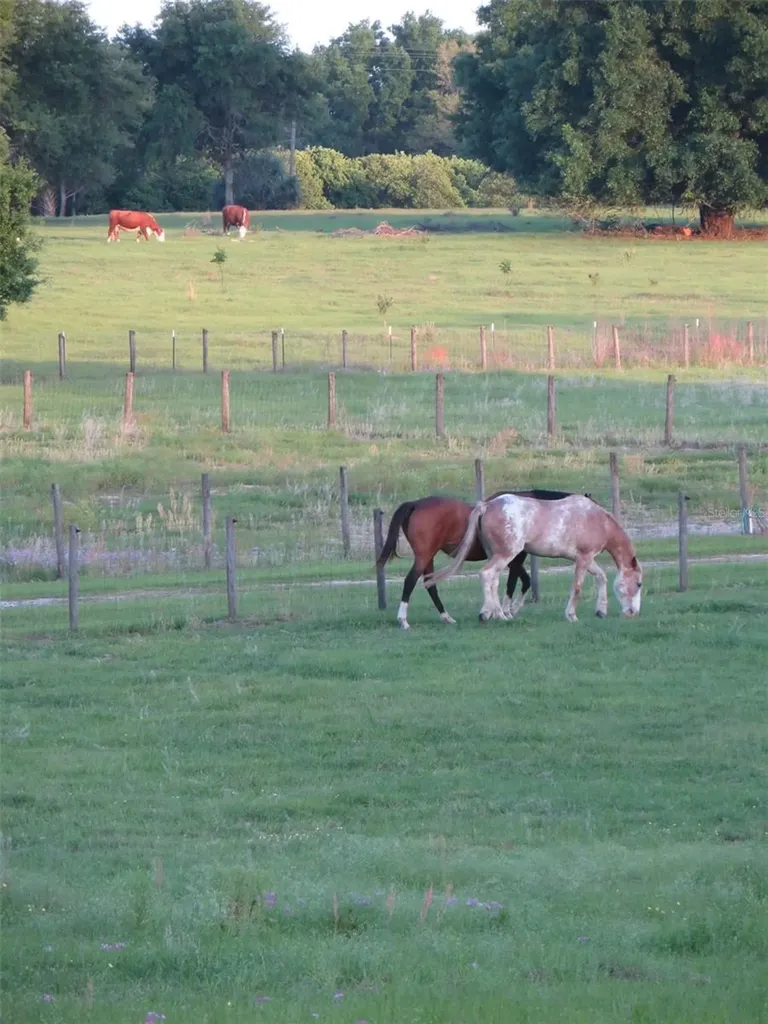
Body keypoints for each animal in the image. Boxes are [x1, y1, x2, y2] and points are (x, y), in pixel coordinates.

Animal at [376, 490, 581, 629]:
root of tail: (415, 504)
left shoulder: (510, 559)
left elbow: (521, 581)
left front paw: (494, 611)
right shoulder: (514, 558)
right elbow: (513, 584)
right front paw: (505, 611)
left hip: (428, 557)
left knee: (430, 585)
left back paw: (447, 617)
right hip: (424, 556)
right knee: (411, 581)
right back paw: (403, 620)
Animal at [425, 494, 642, 622]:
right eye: (639, 584)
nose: (633, 612)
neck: (598, 520)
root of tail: (488, 505)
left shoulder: (586, 559)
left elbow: (601, 577)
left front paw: (601, 611)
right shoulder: (583, 558)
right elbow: (577, 587)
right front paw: (571, 615)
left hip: (497, 555)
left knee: (493, 580)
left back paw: (495, 612)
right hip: (506, 554)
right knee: (486, 574)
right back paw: (494, 614)